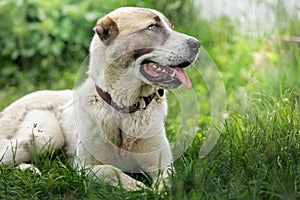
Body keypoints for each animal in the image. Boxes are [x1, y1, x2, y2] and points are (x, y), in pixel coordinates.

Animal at [0, 7, 202, 191]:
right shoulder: (85, 168)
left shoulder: (163, 164)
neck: (124, 106)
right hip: (47, 136)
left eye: (171, 27)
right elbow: (111, 171)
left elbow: (166, 182)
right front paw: (140, 188)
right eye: (153, 27)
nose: (197, 44)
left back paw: (30, 171)